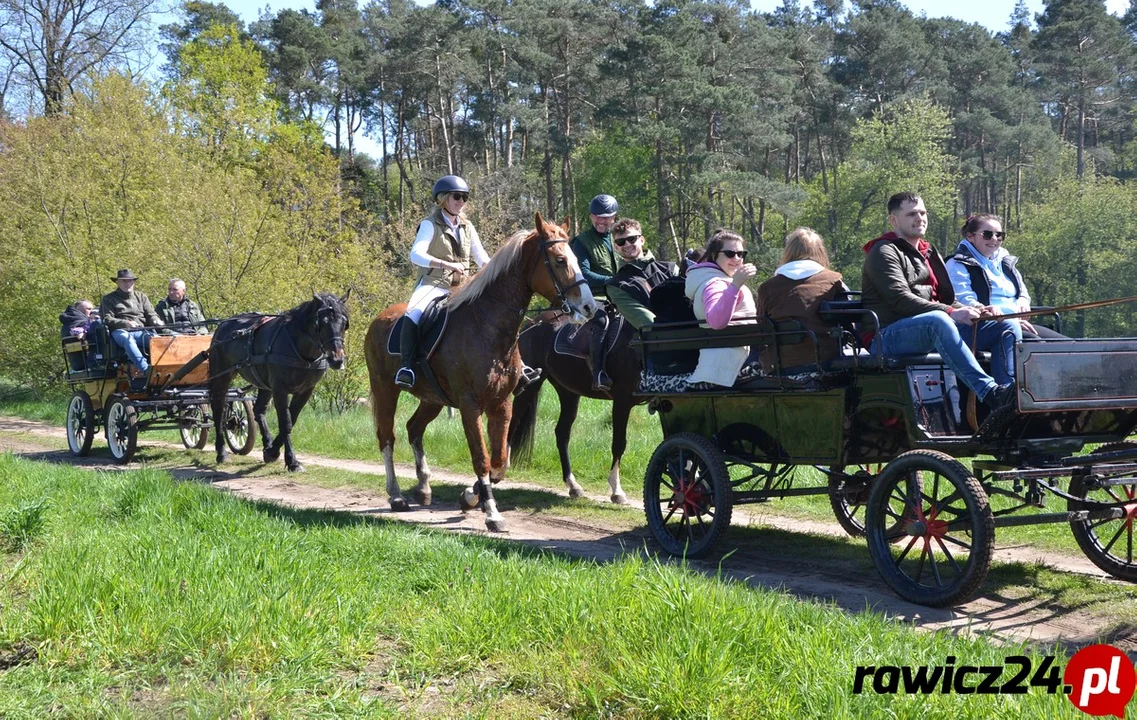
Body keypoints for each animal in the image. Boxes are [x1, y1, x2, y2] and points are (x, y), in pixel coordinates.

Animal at [210, 291, 347, 470]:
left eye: (344, 323)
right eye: (321, 323)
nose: (337, 359)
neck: (299, 348)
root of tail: (223, 325)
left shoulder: (306, 390)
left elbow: (292, 419)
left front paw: (272, 451)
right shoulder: (280, 389)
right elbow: (285, 422)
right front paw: (292, 461)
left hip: (264, 384)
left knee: (258, 410)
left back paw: (267, 443)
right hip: (221, 377)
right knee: (218, 410)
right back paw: (222, 453)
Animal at [363, 210, 600, 530]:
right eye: (560, 260)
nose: (588, 307)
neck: (488, 326)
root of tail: (380, 318)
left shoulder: (502, 403)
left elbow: (500, 460)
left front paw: (470, 497)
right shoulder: (470, 405)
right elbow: (482, 457)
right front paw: (491, 513)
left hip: (432, 399)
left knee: (414, 428)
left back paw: (423, 488)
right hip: (385, 389)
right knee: (387, 437)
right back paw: (396, 496)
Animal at [511, 309, 645, 505]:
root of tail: (534, 322)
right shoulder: (622, 401)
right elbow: (619, 444)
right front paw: (617, 491)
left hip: (568, 393)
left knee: (562, 433)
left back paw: (573, 486)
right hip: (528, 386)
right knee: (512, 422)